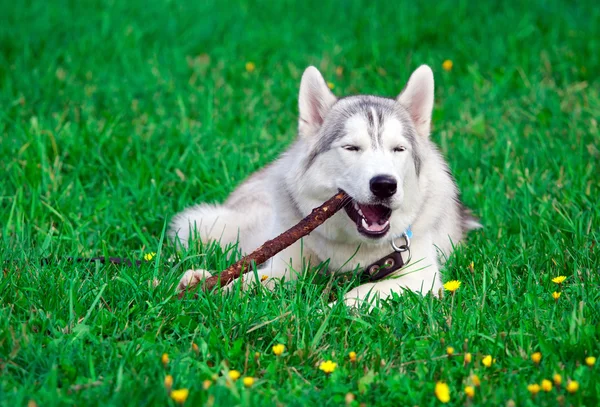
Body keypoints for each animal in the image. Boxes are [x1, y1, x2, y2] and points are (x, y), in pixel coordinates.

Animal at [169, 64, 478, 306]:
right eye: (351, 148)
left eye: (398, 149)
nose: (384, 185)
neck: (354, 247)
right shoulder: (284, 267)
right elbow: (252, 278)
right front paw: (205, 288)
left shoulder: (421, 276)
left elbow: (361, 293)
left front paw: (328, 310)